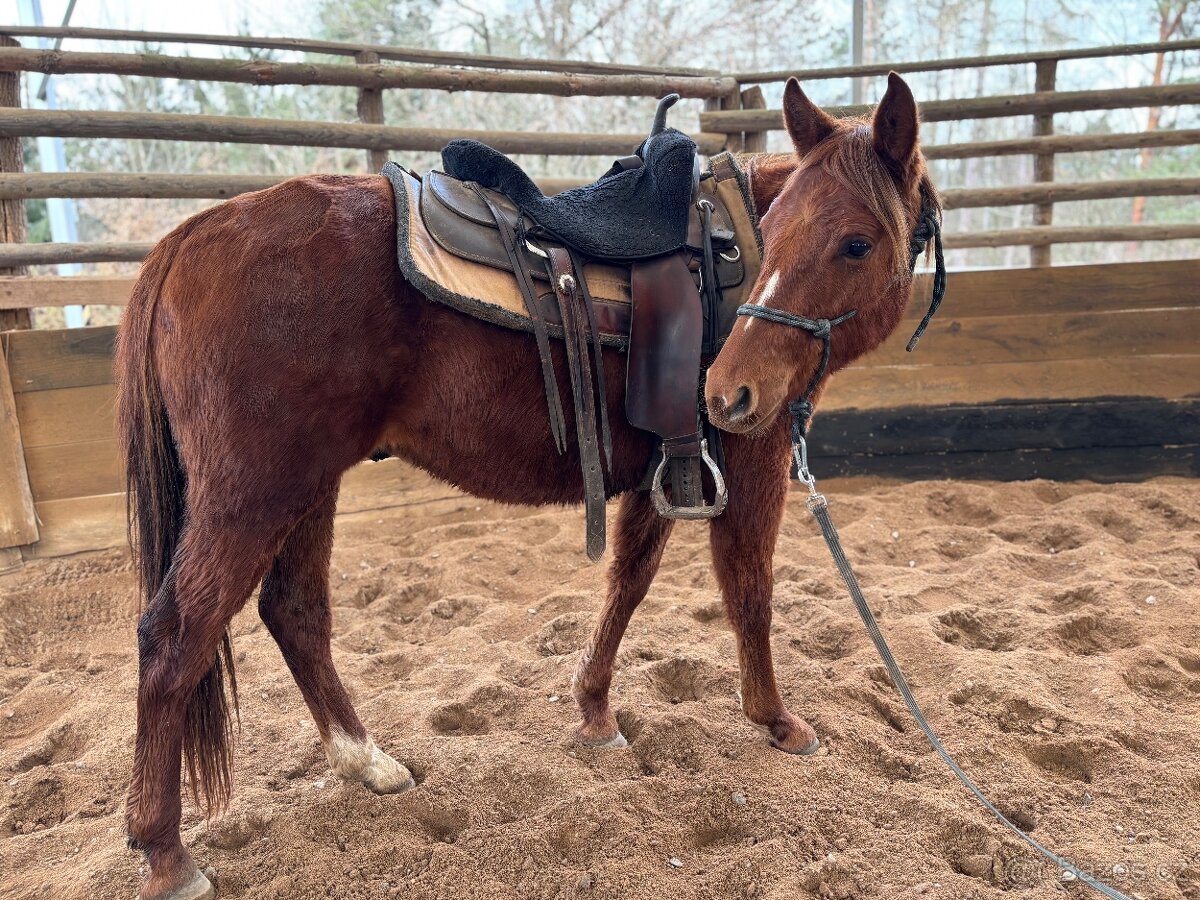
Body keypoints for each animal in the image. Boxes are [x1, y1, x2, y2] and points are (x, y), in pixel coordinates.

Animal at [114, 74, 936, 897]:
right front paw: (774, 719)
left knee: (295, 614)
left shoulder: (667, 464)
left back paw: (367, 762)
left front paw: (595, 710)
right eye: (788, 228)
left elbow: (628, 581)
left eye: (855, 242)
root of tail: (191, 237)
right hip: (253, 496)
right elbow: (750, 590)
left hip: (309, 487)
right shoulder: (751, 455)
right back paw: (166, 851)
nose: (728, 388)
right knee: (173, 639)